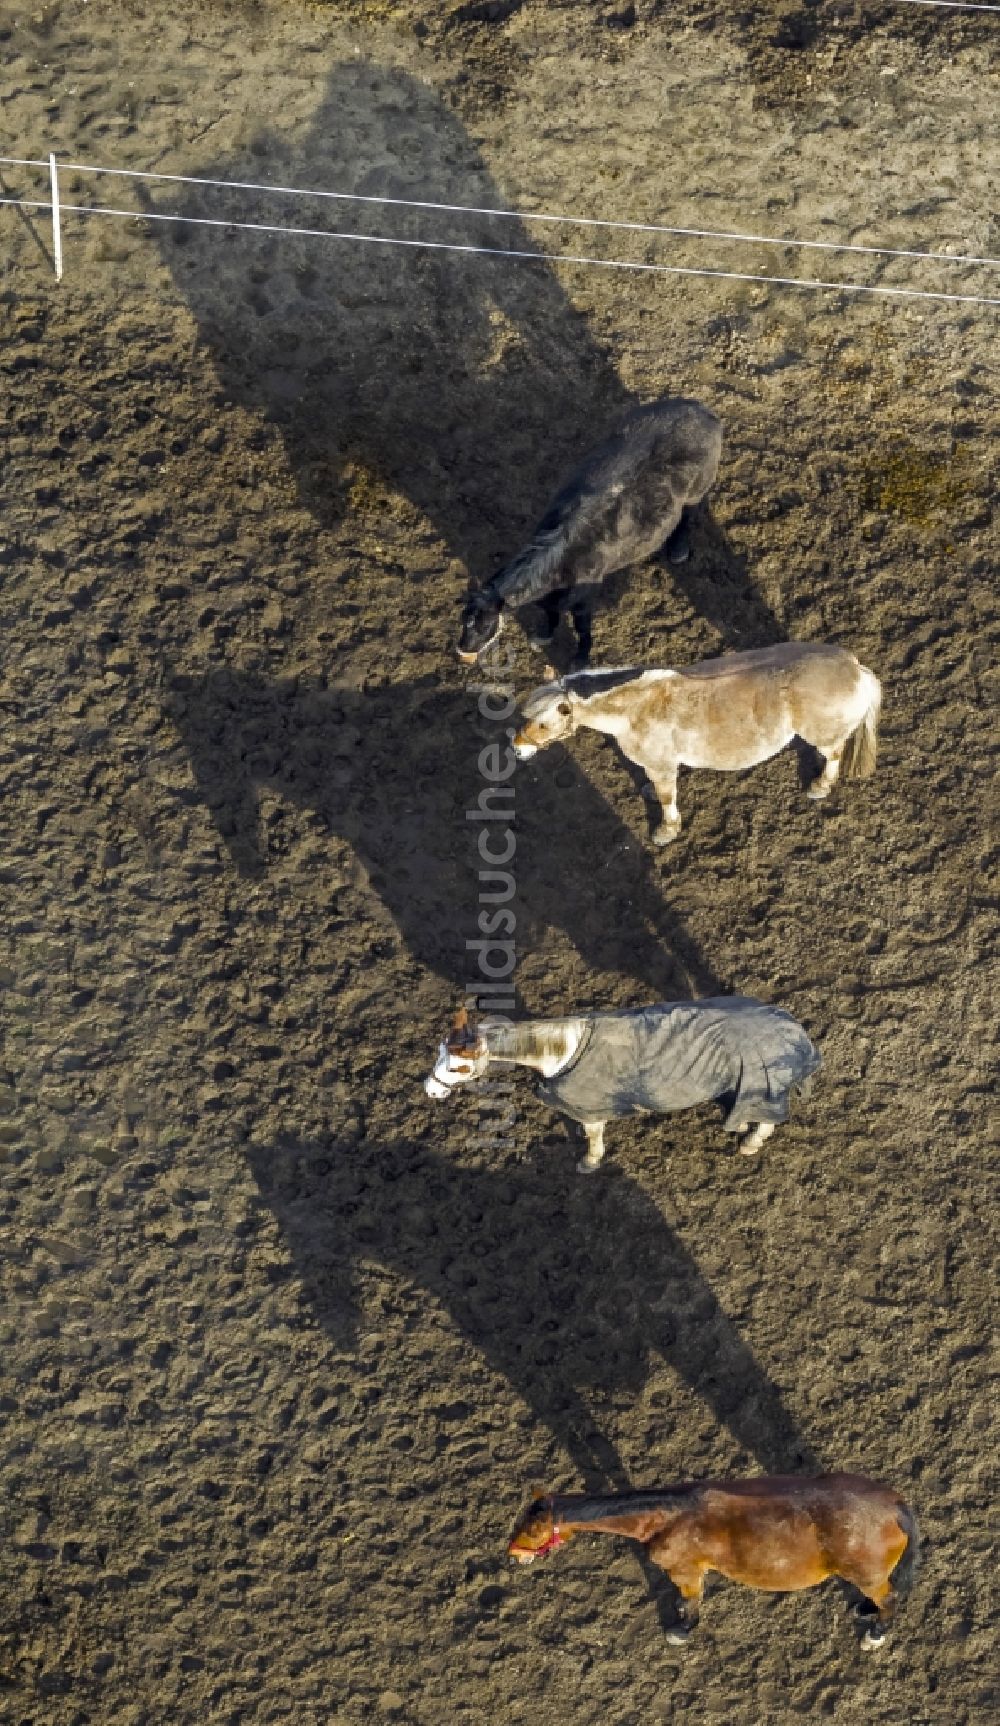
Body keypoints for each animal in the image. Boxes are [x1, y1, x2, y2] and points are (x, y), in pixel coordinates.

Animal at [423, 1001, 822, 1173]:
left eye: (459, 1066)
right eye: (439, 1050)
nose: (430, 1090)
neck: (562, 1051)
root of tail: (795, 1030)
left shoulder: (591, 1109)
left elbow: (593, 1137)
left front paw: (590, 1161)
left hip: (764, 1088)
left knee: (767, 1119)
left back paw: (751, 1143)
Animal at [459, 396, 725, 666]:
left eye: (485, 625)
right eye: (463, 620)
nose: (463, 650)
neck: (562, 558)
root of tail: (701, 410)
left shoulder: (583, 602)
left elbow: (582, 629)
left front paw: (581, 659)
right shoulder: (551, 600)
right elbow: (551, 615)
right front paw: (543, 636)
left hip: (697, 491)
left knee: (688, 514)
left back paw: (679, 550)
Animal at [511, 642, 880, 842]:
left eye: (543, 723)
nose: (517, 747)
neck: (636, 707)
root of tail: (856, 669)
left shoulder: (662, 765)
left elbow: (666, 797)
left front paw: (666, 830)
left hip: (824, 737)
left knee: (834, 754)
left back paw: (820, 786)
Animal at [511, 1470, 918, 1643]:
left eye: (532, 1529)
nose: (513, 1554)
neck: (668, 1515)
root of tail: (894, 1507)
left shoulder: (685, 1571)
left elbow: (692, 1602)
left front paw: (682, 1630)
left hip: (866, 1575)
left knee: (891, 1600)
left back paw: (876, 1633)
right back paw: (865, 1609)